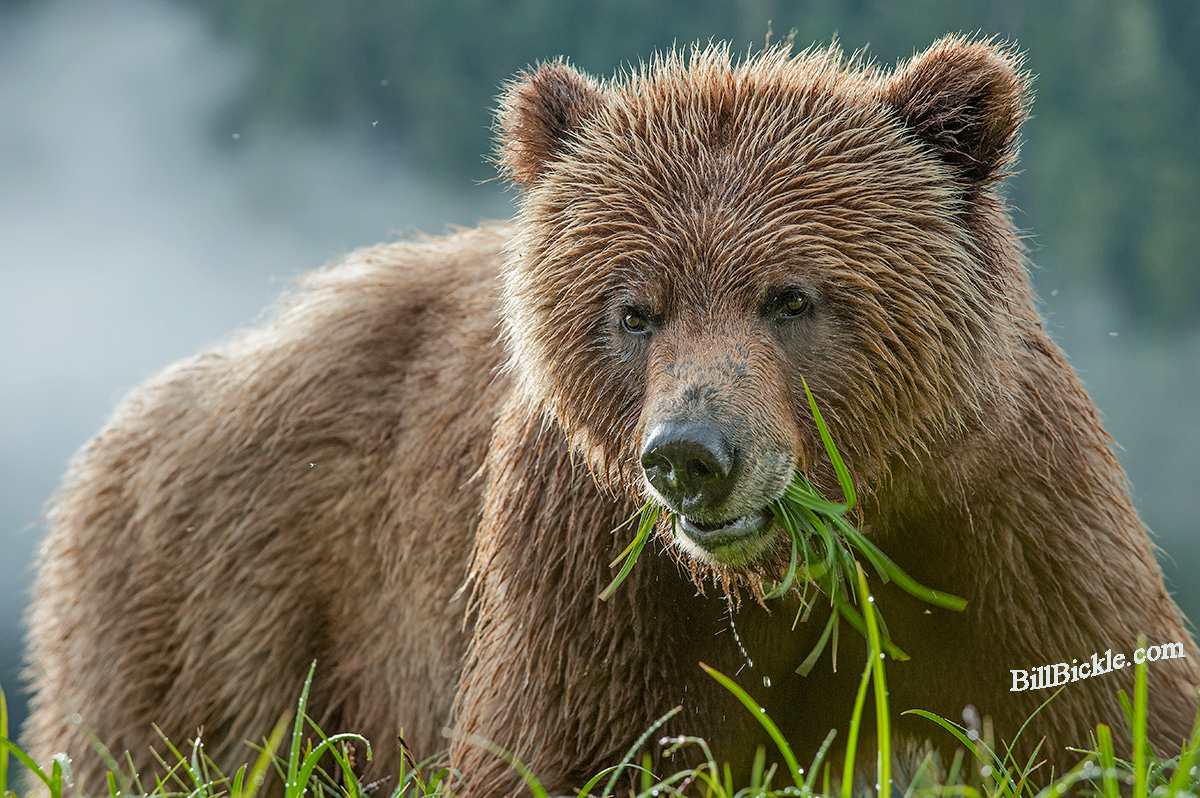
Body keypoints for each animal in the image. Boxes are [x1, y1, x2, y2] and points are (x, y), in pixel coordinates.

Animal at [24, 35, 1200, 797]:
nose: (693, 457)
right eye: (635, 310)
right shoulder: (587, 569)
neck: (792, 575)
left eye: (791, 296)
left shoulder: (1002, 520)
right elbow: (556, 749)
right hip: (227, 610)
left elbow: (1114, 715)